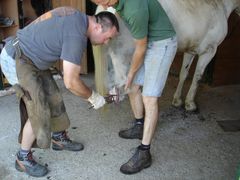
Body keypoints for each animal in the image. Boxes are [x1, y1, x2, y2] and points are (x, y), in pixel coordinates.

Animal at [94, 0, 240, 111]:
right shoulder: (209, 51)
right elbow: (197, 77)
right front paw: (190, 103)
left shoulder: (190, 50)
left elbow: (184, 74)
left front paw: (177, 100)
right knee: (122, 80)